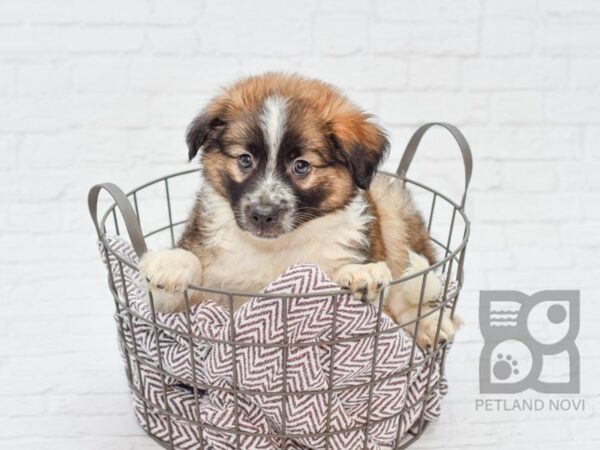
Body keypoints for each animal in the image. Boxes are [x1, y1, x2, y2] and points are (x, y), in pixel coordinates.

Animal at [141, 74, 460, 348]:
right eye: (245, 159)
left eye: (302, 166)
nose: (262, 214)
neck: (278, 247)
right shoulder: (195, 306)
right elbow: (174, 291)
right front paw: (172, 263)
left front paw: (361, 272)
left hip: (391, 204)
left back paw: (430, 325)